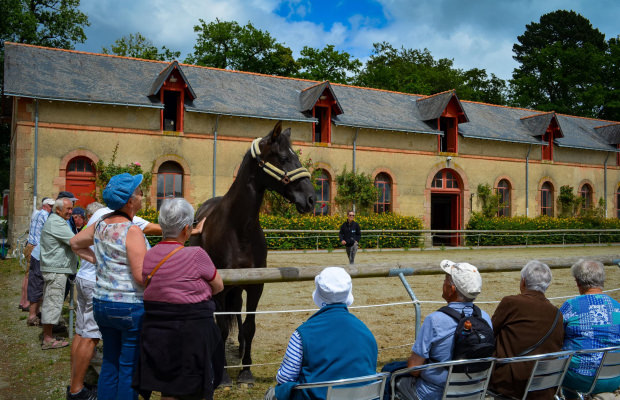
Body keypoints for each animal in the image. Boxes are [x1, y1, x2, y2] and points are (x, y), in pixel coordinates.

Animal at [190, 121, 314, 384]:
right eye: (284, 157)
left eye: (297, 156)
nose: (311, 199)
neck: (239, 228)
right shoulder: (222, 288)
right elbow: (222, 327)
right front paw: (223, 376)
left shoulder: (256, 286)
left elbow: (249, 326)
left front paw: (246, 371)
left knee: (237, 313)